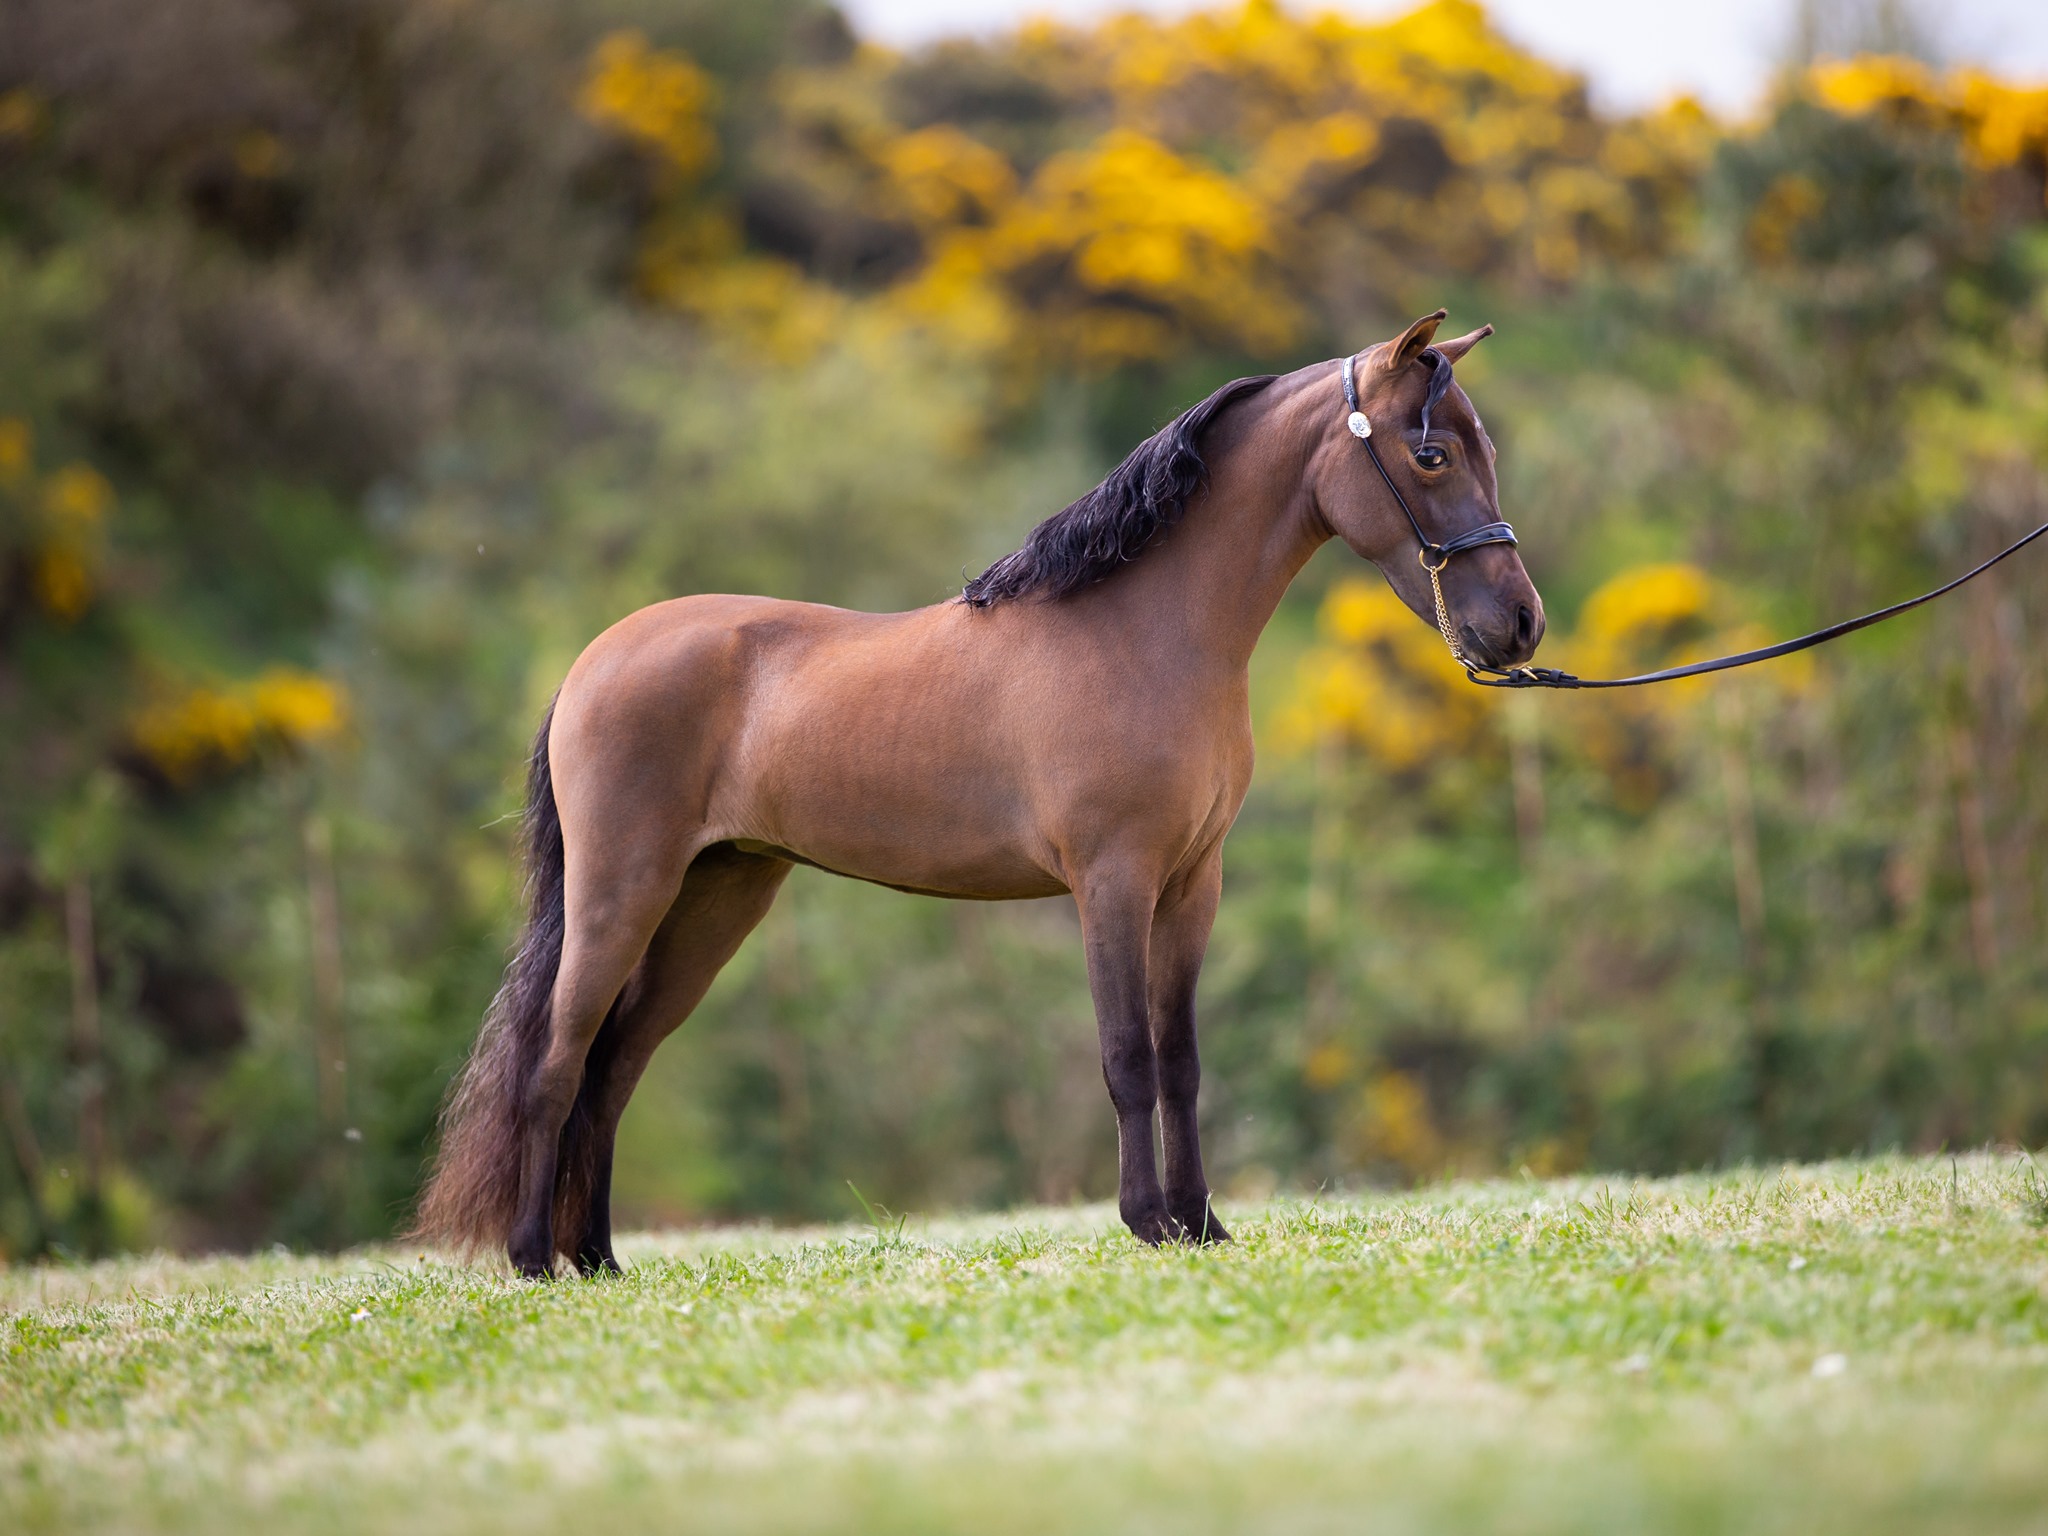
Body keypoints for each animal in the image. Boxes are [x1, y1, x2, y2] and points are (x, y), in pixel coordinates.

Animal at [412, 309, 1545, 1276]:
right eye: (1431, 454)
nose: (1518, 627)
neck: (1145, 631)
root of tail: (593, 660)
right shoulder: (1112, 882)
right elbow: (1127, 1056)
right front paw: (1147, 1223)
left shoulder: (1190, 886)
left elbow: (1179, 1059)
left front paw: (1201, 1226)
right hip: (621, 894)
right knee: (557, 1062)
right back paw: (533, 1261)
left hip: (713, 900)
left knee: (613, 1070)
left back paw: (597, 1258)